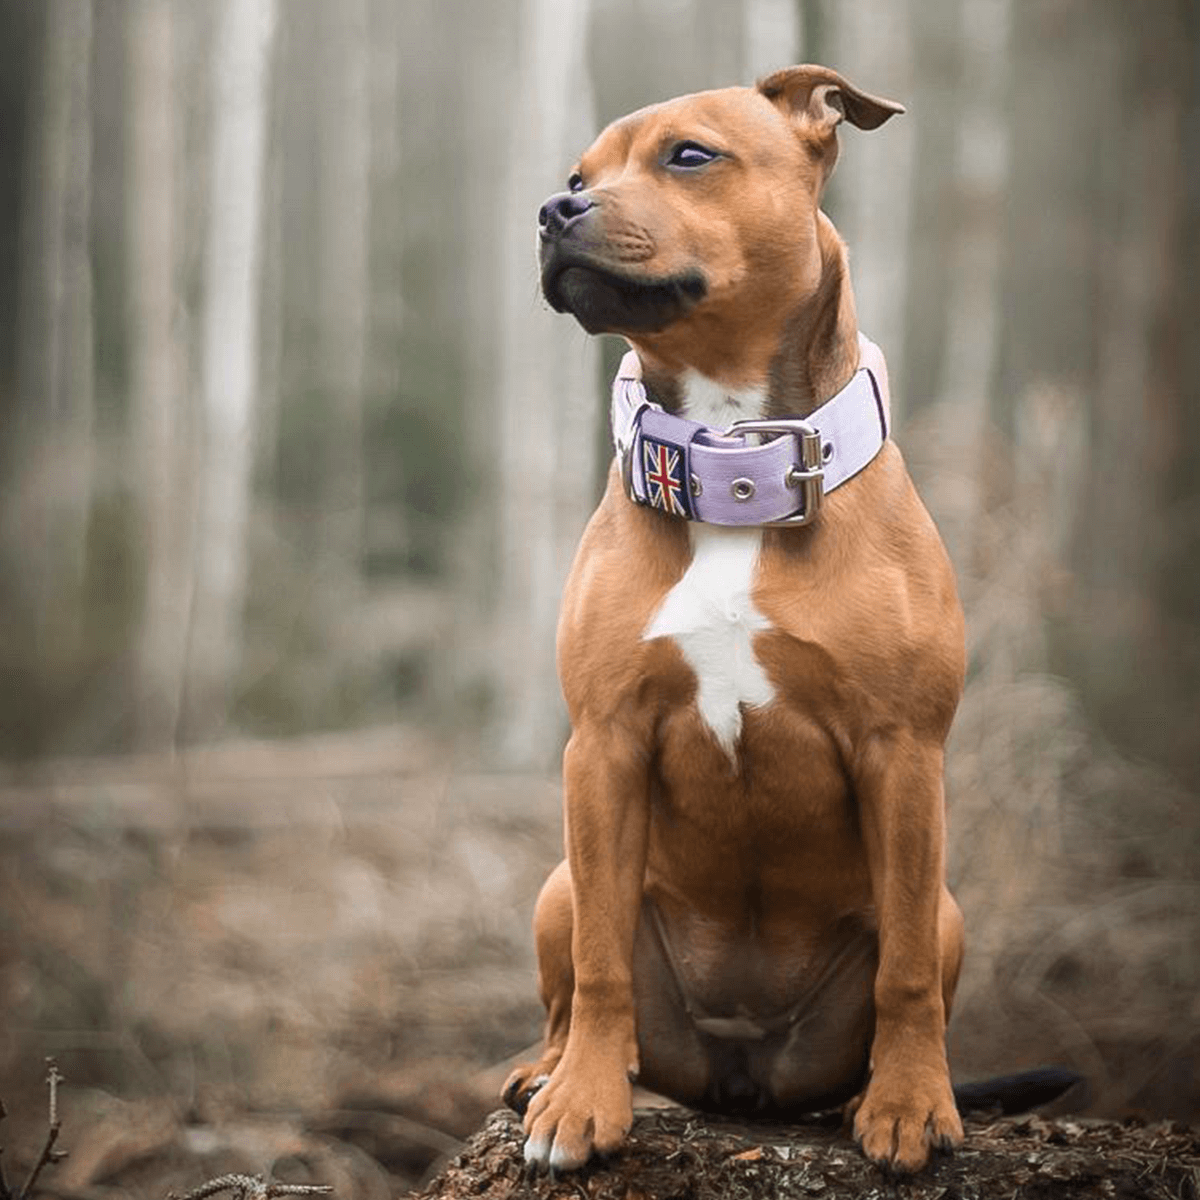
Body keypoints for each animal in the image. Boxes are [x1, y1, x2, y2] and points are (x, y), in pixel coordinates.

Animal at [501, 63, 979, 1171]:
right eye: (579, 174)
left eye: (689, 155)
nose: (553, 210)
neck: (734, 459)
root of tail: (743, 1072)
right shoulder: (604, 746)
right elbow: (600, 965)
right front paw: (582, 1102)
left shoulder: (904, 753)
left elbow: (904, 978)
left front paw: (911, 1106)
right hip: (558, 882)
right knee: (572, 980)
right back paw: (545, 1074)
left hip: (946, 909)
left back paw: (861, 1095)